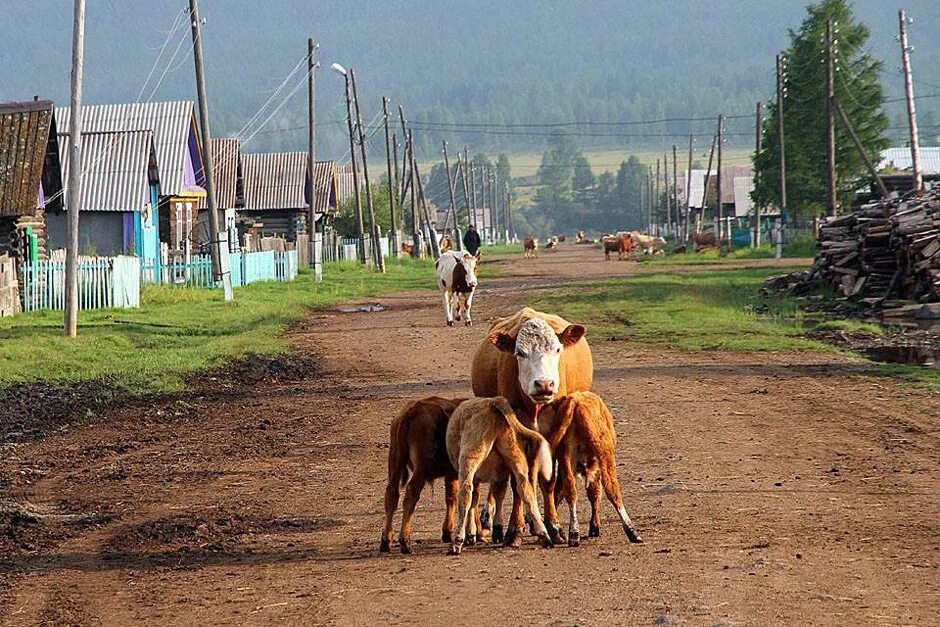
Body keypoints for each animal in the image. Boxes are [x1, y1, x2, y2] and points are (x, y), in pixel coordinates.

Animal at [378, 398, 466, 556]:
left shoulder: (452, 474)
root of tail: (412, 410)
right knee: (411, 493)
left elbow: (451, 497)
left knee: (391, 493)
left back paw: (386, 541)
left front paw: (447, 531)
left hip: (395, 461)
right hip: (421, 470)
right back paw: (405, 540)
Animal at [444, 398, 556, 556]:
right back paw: (544, 535)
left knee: (465, 492)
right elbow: (495, 496)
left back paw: (457, 542)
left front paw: (471, 534)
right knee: (525, 489)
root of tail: (493, 402)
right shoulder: (500, 475)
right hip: (515, 455)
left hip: (470, 456)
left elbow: (474, 500)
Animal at [470, 312, 596, 548]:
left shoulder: (553, 433)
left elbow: (548, 481)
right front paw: (514, 529)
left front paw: (554, 526)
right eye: (520, 353)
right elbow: (518, 482)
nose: (544, 384)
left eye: (557, 350)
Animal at [540, 390, 644, 548]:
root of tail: (575, 401)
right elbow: (596, 493)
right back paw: (632, 532)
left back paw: (573, 534)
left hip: (565, 456)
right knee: (612, 490)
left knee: (570, 490)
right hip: (605, 454)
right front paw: (595, 526)